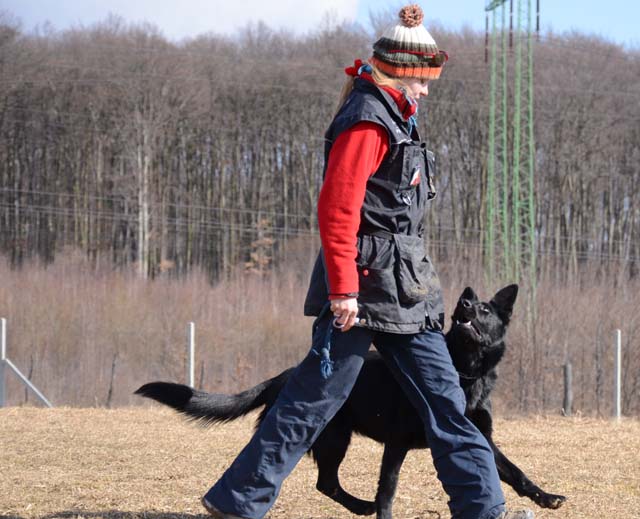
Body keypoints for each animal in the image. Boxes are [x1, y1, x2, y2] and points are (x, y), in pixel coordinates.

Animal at [136, 284, 566, 518]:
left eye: (486, 309)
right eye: (471, 304)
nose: (464, 305)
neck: (464, 371)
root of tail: (283, 376)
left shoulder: (481, 439)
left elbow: (513, 472)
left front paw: (546, 498)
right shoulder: (397, 443)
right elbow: (388, 487)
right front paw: (384, 513)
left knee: (325, 482)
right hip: (331, 436)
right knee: (323, 481)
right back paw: (361, 506)